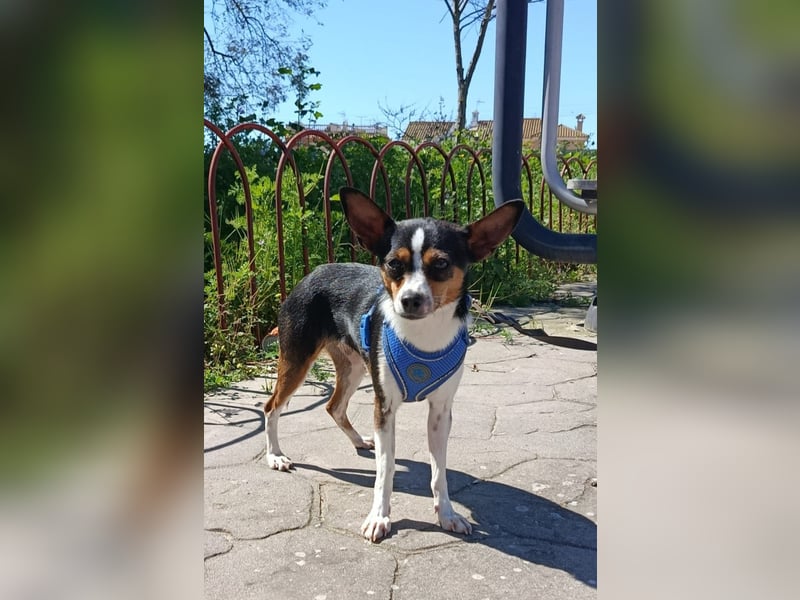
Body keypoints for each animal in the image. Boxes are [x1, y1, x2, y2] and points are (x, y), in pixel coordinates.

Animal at [264, 187, 523, 541]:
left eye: (441, 264)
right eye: (393, 264)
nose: (410, 300)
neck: (423, 336)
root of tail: (314, 271)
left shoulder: (440, 412)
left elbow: (439, 472)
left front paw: (447, 514)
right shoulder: (384, 407)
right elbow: (385, 471)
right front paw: (379, 517)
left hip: (355, 367)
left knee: (334, 406)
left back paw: (358, 440)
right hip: (297, 362)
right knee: (271, 407)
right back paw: (275, 456)